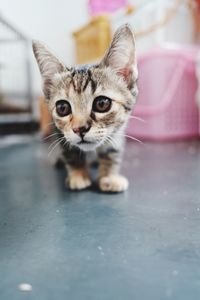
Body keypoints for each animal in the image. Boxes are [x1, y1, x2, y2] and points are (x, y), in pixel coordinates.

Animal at [32, 24, 138, 192]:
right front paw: (78, 175)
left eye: (102, 104)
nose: (79, 129)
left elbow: (112, 150)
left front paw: (109, 176)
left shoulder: (119, 130)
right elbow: (70, 151)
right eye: (62, 107)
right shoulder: (60, 132)